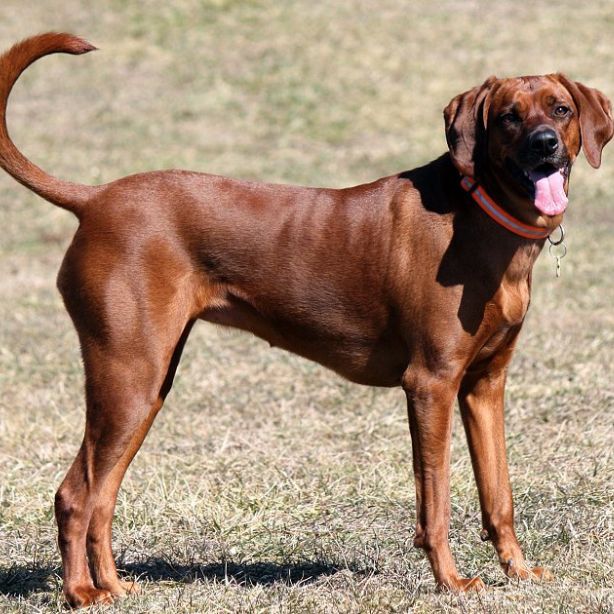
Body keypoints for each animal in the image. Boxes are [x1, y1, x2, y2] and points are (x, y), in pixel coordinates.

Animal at [1, 32, 614, 608]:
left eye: (560, 109)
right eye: (509, 116)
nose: (545, 145)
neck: (478, 215)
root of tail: (95, 198)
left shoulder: (484, 386)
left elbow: (499, 494)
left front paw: (519, 571)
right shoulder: (431, 384)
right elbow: (435, 499)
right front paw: (452, 582)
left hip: (146, 385)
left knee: (102, 494)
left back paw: (112, 586)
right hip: (127, 376)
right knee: (75, 494)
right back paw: (80, 593)